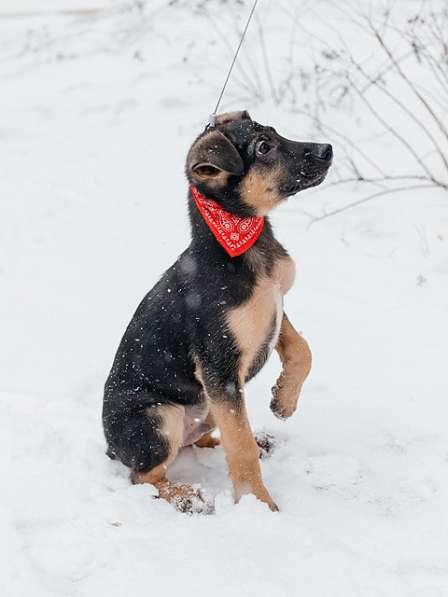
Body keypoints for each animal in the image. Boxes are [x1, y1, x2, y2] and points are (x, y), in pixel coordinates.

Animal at [103, 109, 330, 510]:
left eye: (274, 133)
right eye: (263, 147)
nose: (328, 149)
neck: (240, 242)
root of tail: (111, 447)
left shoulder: (275, 308)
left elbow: (303, 349)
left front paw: (284, 400)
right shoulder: (219, 364)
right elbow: (241, 448)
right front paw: (258, 504)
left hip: (208, 406)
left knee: (206, 438)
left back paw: (255, 440)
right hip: (159, 417)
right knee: (145, 475)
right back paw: (186, 497)